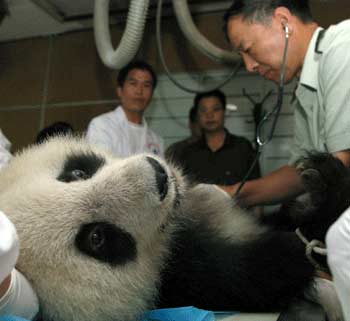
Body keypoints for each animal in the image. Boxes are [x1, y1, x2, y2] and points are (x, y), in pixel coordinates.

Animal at [0, 137, 338, 320]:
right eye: (97, 238)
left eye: (76, 174)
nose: (159, 176)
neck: (172, 232)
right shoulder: (181, 283)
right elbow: (252, 276)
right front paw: (299, 247)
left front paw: (323, 180)